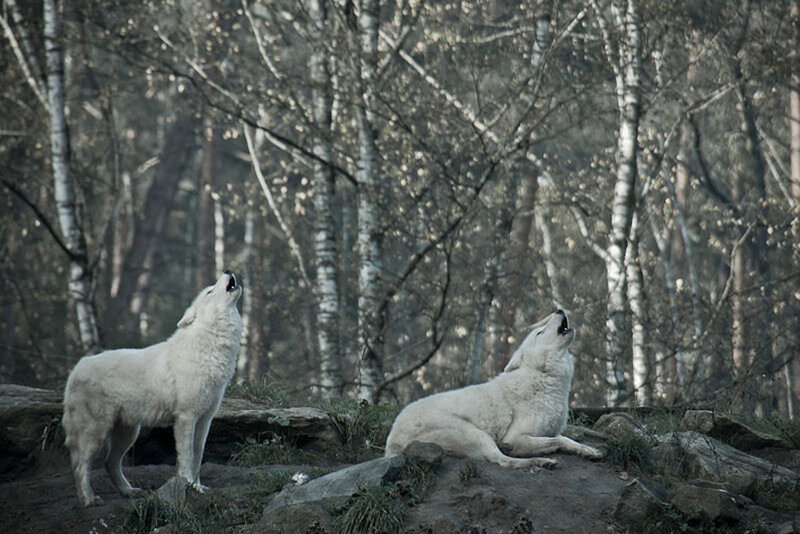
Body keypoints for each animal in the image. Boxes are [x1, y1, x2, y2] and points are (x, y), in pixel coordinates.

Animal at [62, 271, 243, 506]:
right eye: (210, 291)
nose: (228, 270)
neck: (209, 345)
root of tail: (76, 367)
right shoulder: (186, 417)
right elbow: (186, 456)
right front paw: (187, 484)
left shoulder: (205, 419)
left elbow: (198, 456)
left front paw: (198, 487)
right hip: (95, 433)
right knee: (80, 466)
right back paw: (89, 499)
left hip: (128, 434)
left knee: (110, 464)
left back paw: (129, 492)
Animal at [384, 310, 601, 468]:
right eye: (539, 332)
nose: (559, 310)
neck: (543, 378)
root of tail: (390, 445)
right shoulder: (516, 437)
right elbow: (556, 441)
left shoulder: (551, 430)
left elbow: (566, 439)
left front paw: (587, 450)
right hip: (477, 434)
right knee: (502, 461)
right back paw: (541, 461)